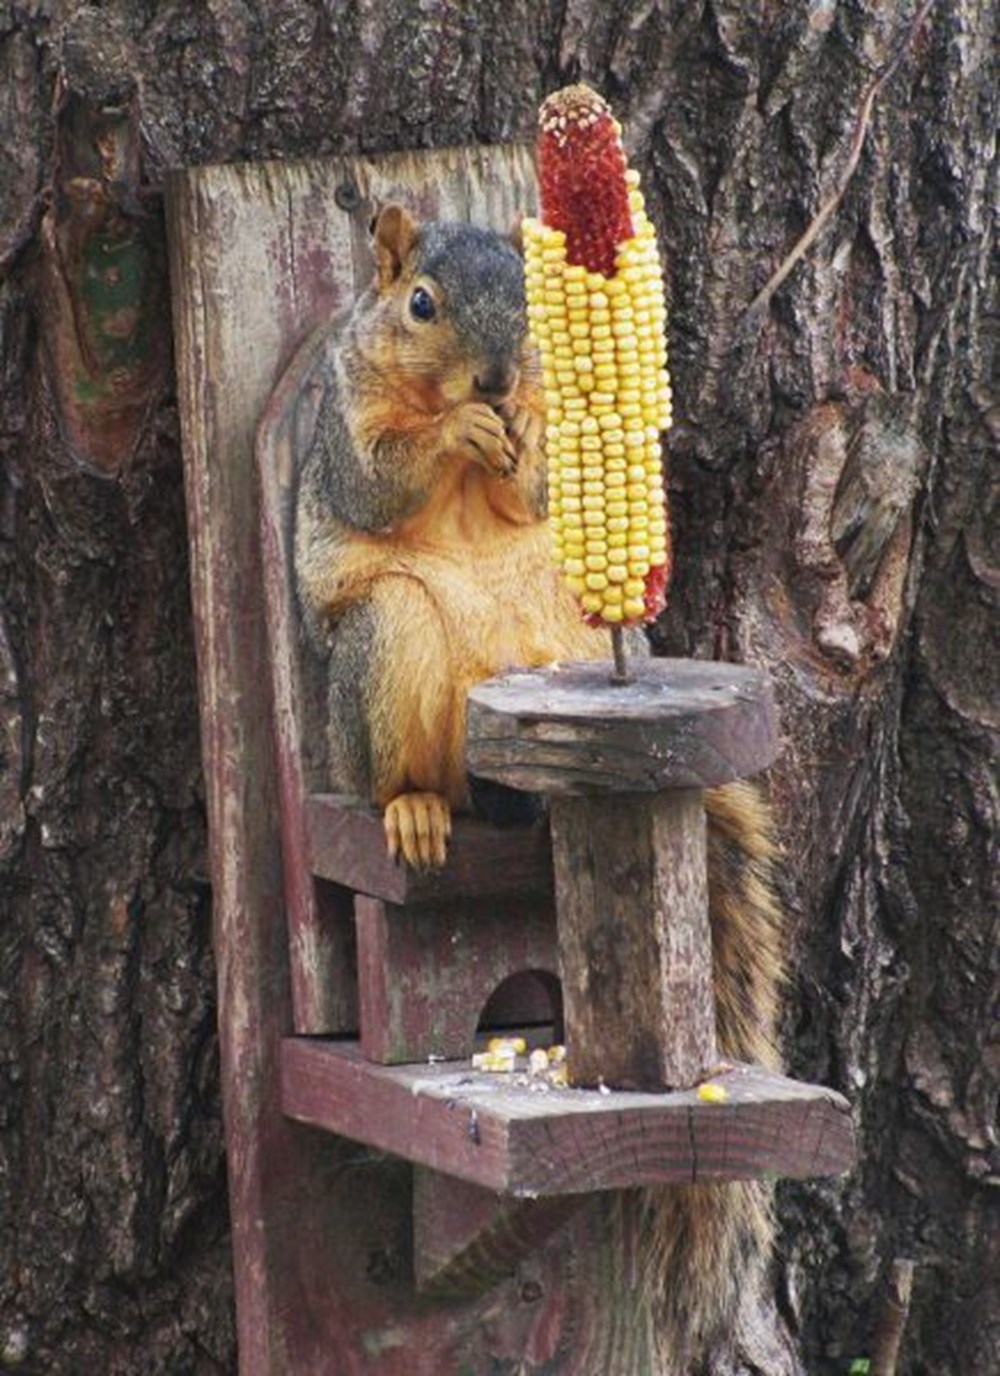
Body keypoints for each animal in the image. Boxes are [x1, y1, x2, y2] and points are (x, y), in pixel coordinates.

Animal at [292, 203, 786, 1364]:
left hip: (569, 642)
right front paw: (452, 438)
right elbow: (379, 479)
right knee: (406, 765)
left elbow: (543, 488)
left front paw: (513, 424)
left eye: (529, 297)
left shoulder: (552, 444)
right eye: (420, 303)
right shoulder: (345, 424)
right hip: (385, 651)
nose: (497, 375)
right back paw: (416, 808)